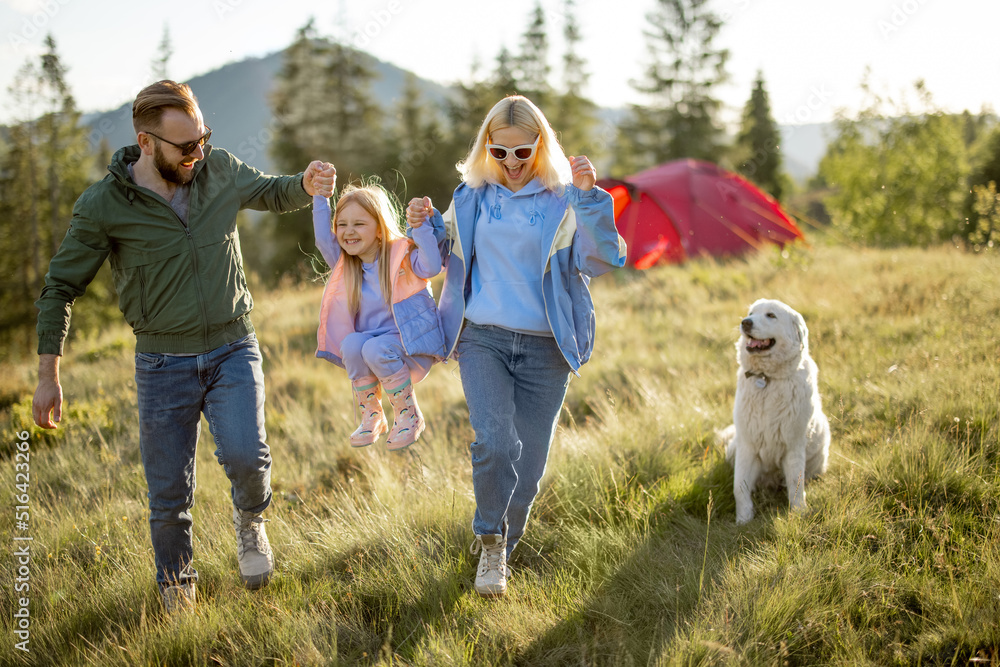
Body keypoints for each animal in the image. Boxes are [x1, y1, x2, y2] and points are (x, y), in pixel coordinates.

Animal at [720, 300, 828, 524]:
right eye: (751, 313)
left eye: (771, 315)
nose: (745, 322)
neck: (766, 379)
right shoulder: (747, 446)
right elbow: (739, 487)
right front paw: (743, 520)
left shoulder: (793, 446)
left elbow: (796, 485)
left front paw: (799, 514)